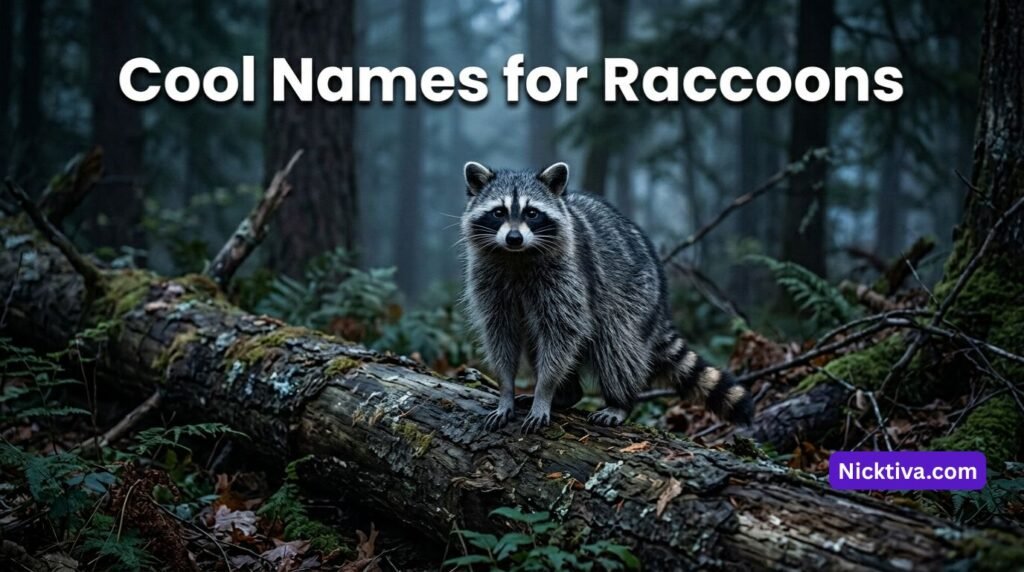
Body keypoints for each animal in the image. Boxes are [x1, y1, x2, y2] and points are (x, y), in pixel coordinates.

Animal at [460, 161, 754, 433]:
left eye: (532, 213)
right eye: (499, 212)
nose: (514, 238)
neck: (517, 256)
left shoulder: (569, 277)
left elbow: (562, 334)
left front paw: (544, 391)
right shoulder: (489, 281)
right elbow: (500, 334)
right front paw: (506, 392)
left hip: (634, 297)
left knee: (616, 345)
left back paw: (618, 401)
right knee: (539, 343)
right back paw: (568, 395)